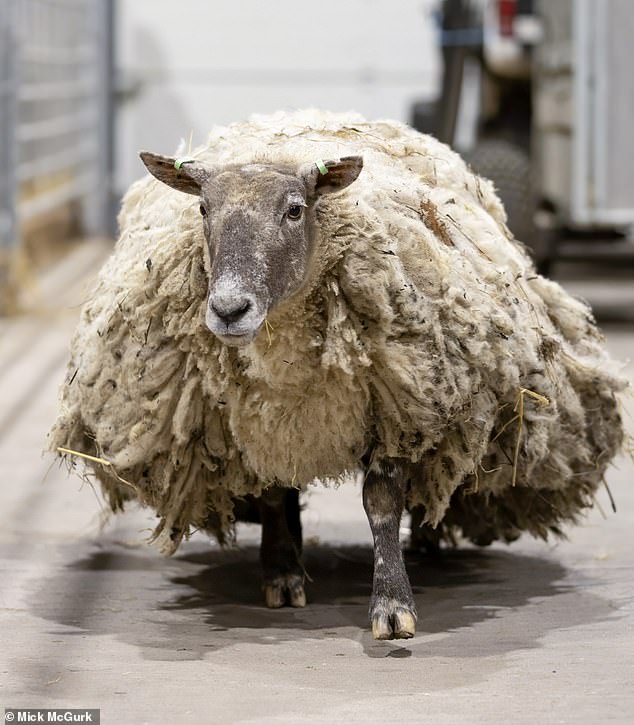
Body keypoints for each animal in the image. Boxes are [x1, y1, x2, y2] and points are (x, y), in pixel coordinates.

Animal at [49, 109, 624, 640]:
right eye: (204, 208)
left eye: (295, 210)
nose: (230, 310)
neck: (287, 370)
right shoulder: (260, 423)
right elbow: (275, 494)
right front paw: (282, 573)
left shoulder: (398, 406)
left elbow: (382, 501)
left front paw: (392, 605)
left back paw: (429, 539)